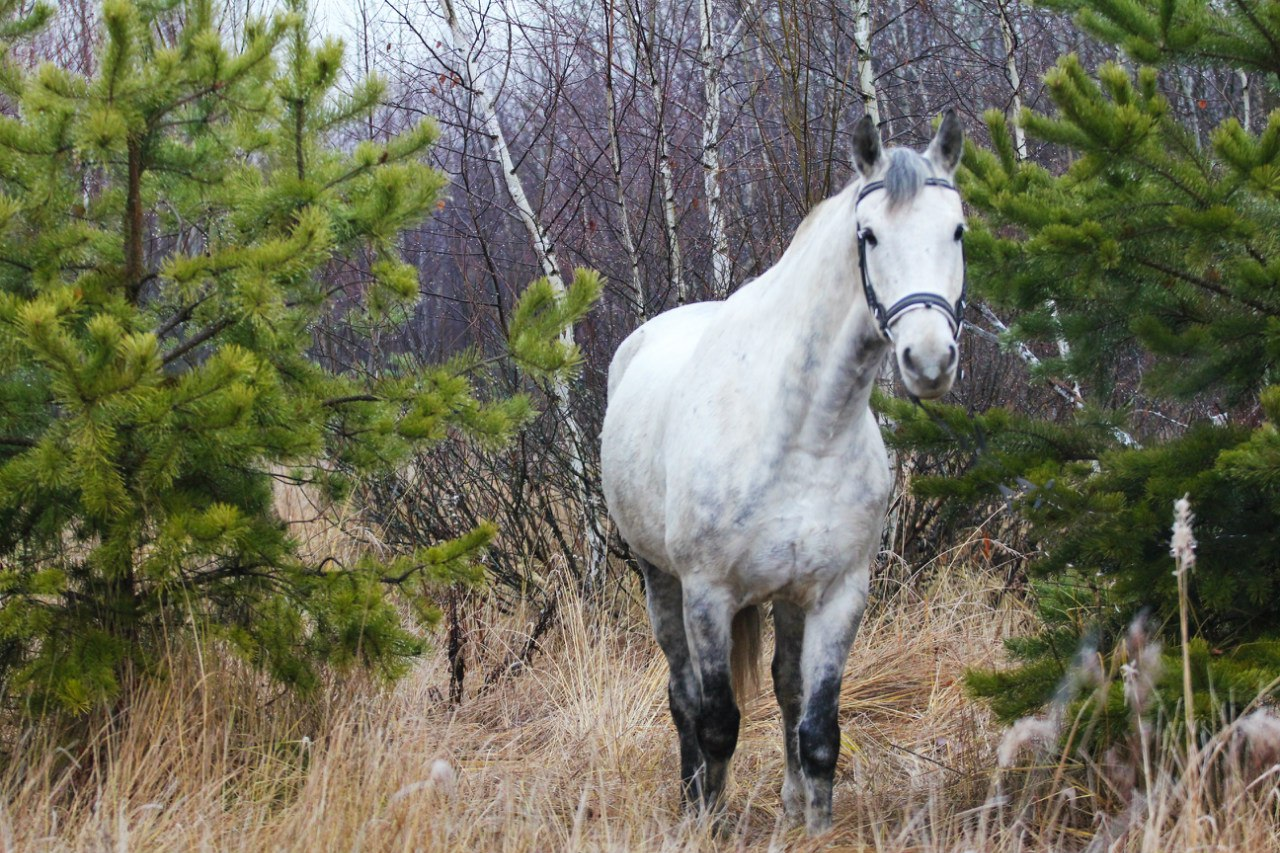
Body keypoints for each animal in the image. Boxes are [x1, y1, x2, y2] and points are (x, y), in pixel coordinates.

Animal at [599, 111, 968, 834]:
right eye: (869, 234)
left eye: (958, 229)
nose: (930, 359)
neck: (803, 433)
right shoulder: (708, 594)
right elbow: (717, 722)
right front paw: (707, 822)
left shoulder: (839, 594)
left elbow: (818, 727)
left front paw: (814, 824)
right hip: (661, 581)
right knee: (683, 696)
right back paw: (691, 797)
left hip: (789, 598)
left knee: (787, 688)